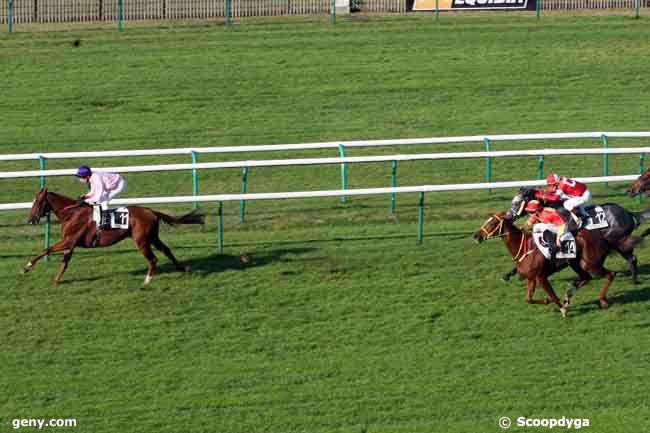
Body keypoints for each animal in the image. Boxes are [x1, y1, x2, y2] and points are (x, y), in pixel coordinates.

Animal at [21, 188, 202, 284]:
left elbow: (45, 250)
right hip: (153, 237)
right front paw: (56, 280)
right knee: (167, 251)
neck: (71, 213)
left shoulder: (68, 241)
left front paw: (26, 267)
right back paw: (184, 268)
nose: (30, 220)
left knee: (153, 259)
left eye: (38, 202)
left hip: (142, 240)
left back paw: (147, 280)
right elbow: (64, 263)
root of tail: (151, 211)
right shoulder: (70, 244)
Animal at [470, 212, 616, 316]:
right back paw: (568, 295)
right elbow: (529, 299)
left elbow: (552, 295)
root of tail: (601, 236)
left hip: (591, 264)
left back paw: (602, 301)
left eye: (493, 223)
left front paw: (562, 309)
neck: (524, 249)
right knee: (586, 278)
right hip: (576, 263)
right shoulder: (531, 279)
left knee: (611, 274)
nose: (476, 236)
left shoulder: (541, 277)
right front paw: (550, 302)